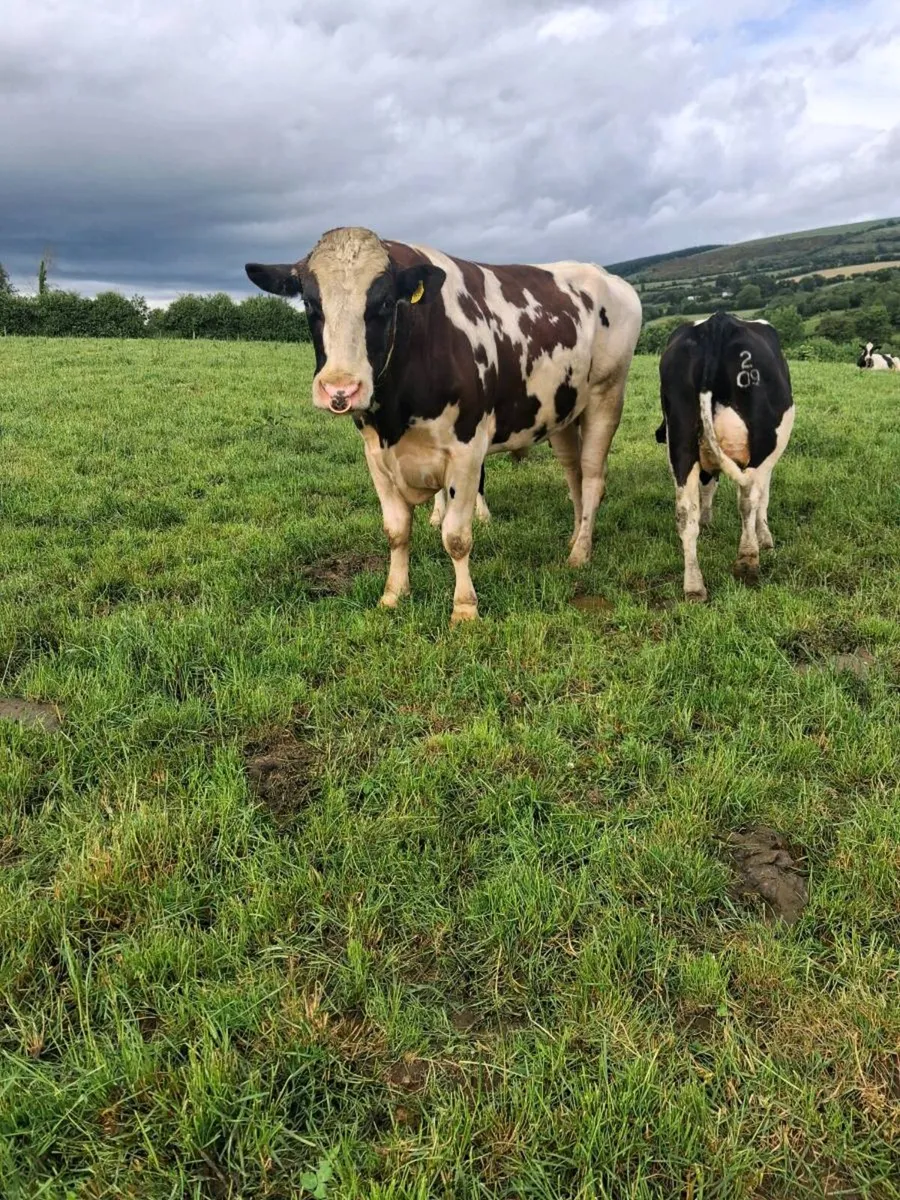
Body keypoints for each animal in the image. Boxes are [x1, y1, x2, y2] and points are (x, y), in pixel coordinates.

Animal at [246, 227, 642, 624]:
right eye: (310, 303)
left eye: (385, 303)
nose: (340, 389)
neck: (396, 416)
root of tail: (606, 276)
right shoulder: (376, 455)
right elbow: (396, 530)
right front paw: (393, 594)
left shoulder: (466, 451)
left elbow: (456, 537)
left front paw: (464, 609)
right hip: (562, 412)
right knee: (573, 474)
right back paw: (574, 537)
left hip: (606, 396)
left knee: (592, 478)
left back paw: (581, 552)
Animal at [655, 311, 794, 601]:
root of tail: (717, 323)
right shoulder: (768, 461)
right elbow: (763, 499)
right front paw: (765, 539)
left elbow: (707, 489)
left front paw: (707, 521)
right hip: (762, 442)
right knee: (748, 500)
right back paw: (748, 560)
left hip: (681, 440)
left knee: (685, 512)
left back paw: (694, 587)